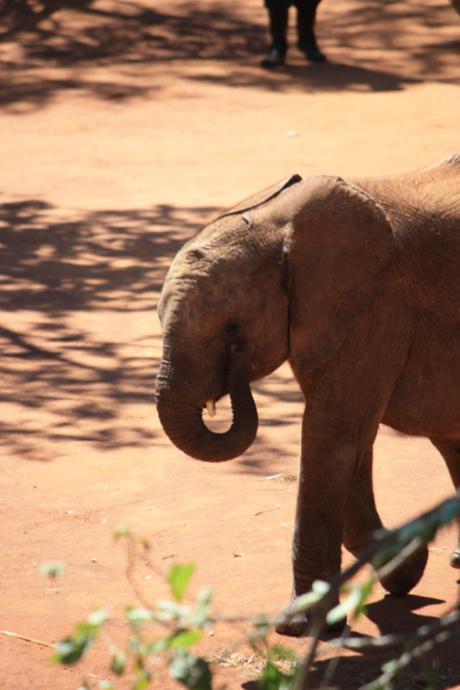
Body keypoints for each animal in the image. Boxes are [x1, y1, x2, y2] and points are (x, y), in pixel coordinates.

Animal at [156, 152, 460, 636]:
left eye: (233, 330)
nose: (235, 371)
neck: (275, 227)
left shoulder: (373, 309)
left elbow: (331, 434)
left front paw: (299, 627)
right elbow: (349, 443)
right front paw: (405, 573)